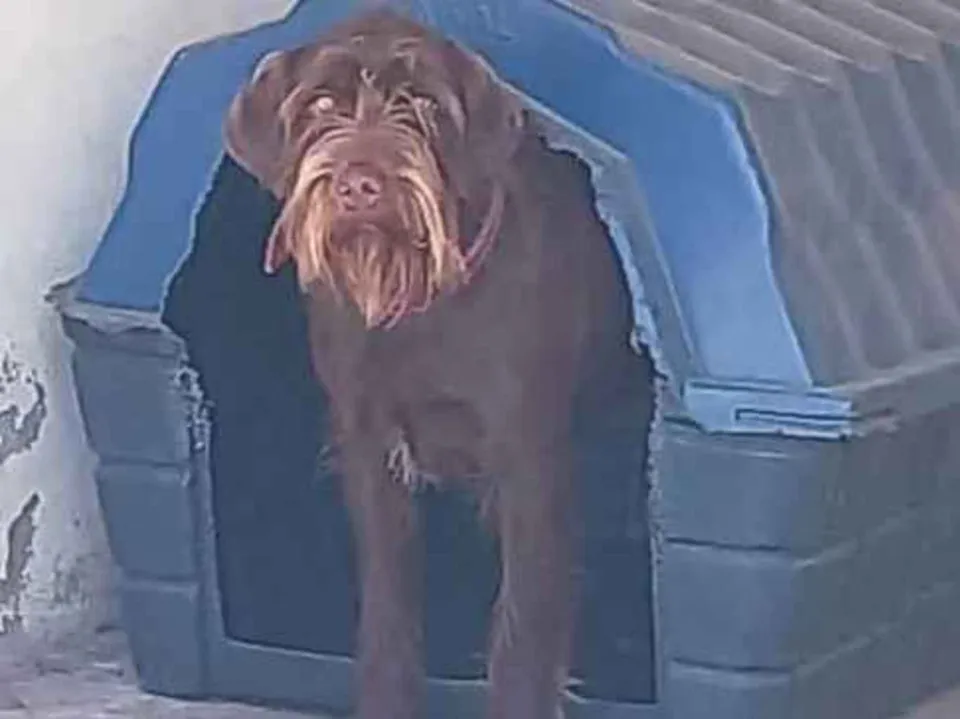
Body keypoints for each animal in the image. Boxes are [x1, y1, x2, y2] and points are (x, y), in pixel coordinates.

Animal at [223, 9, 641, 718]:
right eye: (321, 105)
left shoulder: (528, 461)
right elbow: (387, 611)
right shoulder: (368, 454)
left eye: (421, 103)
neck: (419, 305)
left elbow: (523, 626)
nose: (360, 185)